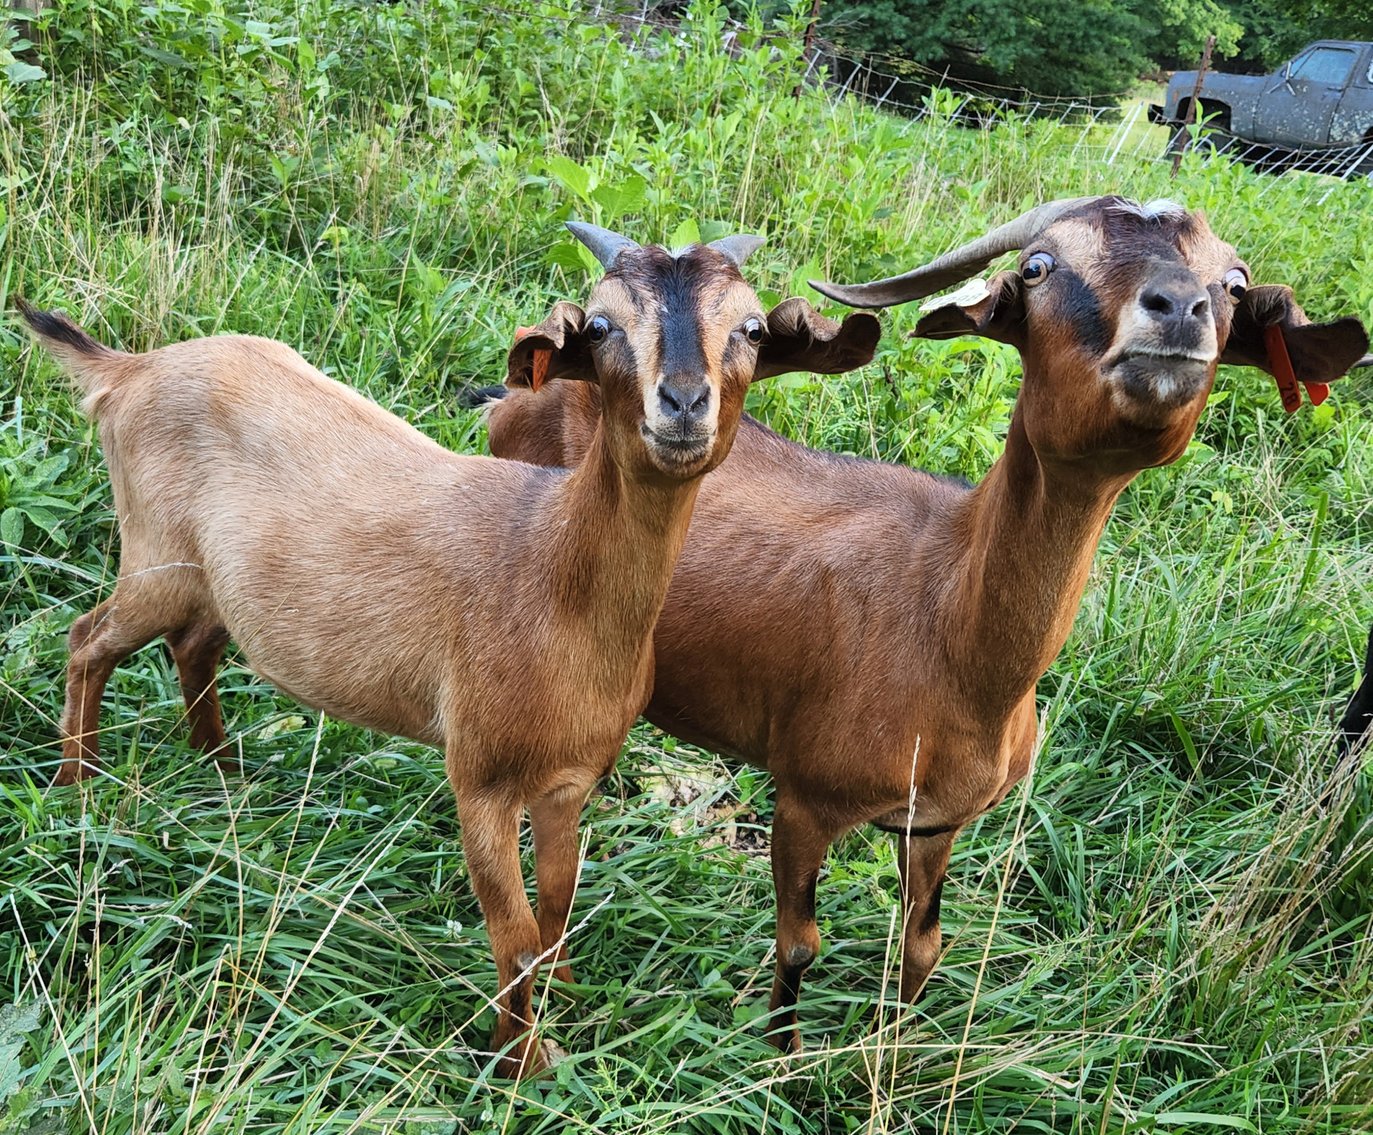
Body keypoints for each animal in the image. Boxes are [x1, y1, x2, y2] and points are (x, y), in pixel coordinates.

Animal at [14, 224, 879, 1078]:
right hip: (155, 556)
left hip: (210, 582)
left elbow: (557, 902)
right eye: (600, 325)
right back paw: (77, 787)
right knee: (88, 639)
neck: (548, 570)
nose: (683, 403)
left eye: (751, 327)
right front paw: (521, 1062)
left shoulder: (570, 777)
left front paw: (564, 992)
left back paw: (221, 770)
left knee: (193, 644)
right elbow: (515, 933)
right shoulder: (481, 775)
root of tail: (130, 369)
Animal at [477, 197, 1370, 1052]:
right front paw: (784, 1062)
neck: (945, 622)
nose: (1177, 310)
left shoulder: (936, 820)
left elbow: (922, 946)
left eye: (1231, 282)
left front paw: (891, 1054)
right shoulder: (804, 797)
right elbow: (798, 943)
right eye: (1039, 267)